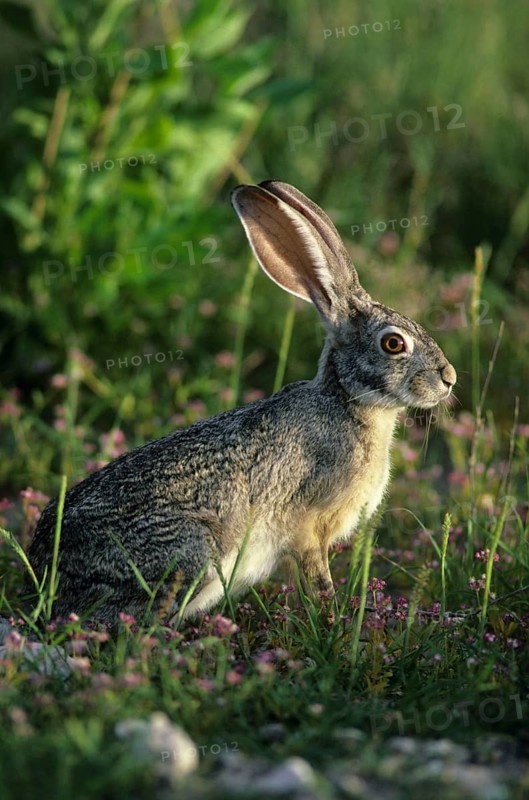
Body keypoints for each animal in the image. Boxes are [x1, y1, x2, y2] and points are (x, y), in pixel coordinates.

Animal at [26, 180, 456, 627]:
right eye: (393, 344)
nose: (449, 378)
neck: (347, 402)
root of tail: (45, 574)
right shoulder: (307, 525)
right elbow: (317, 576)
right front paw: (332, 615)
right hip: (190, 553)